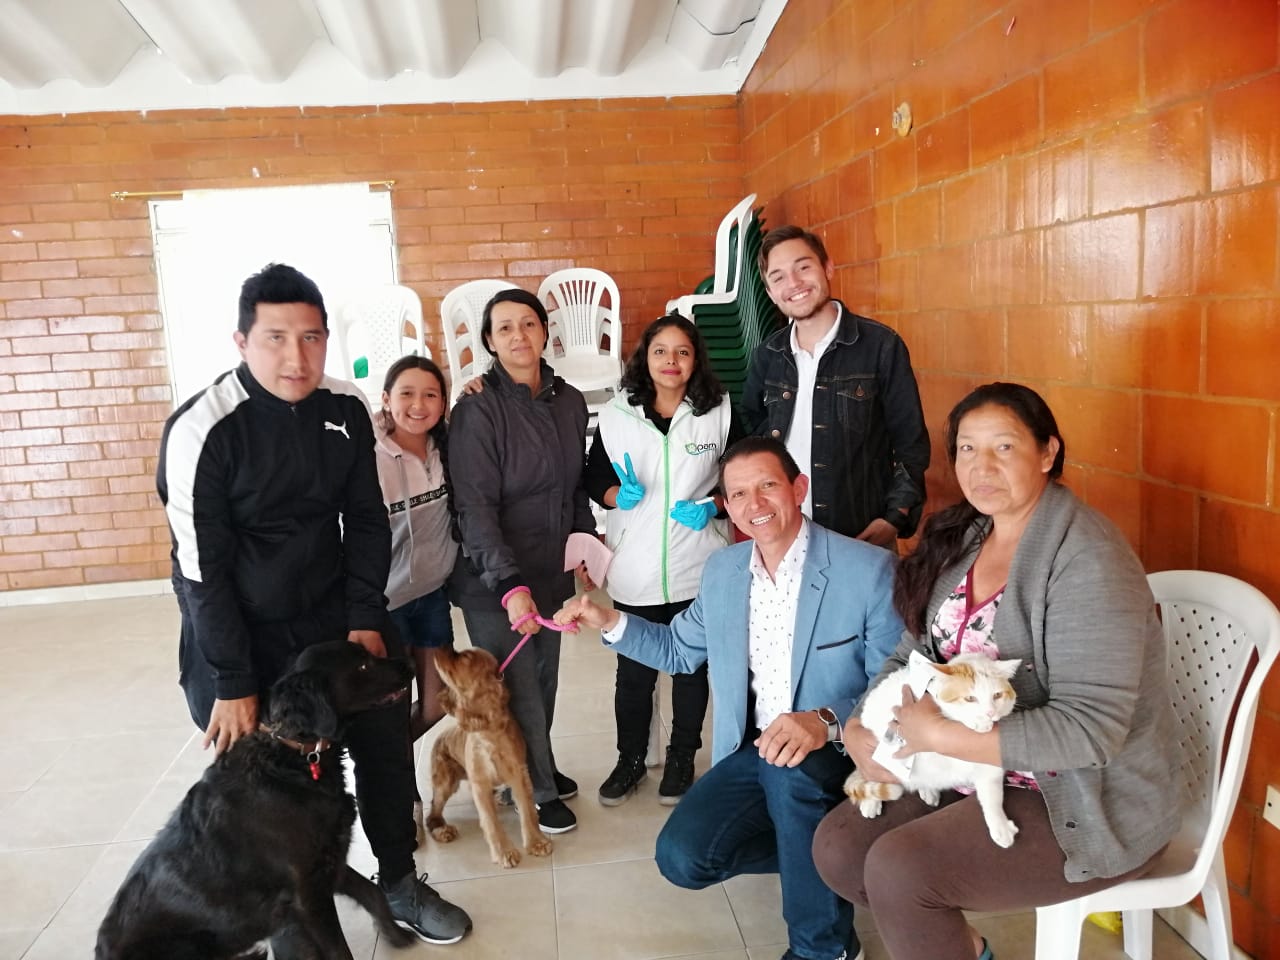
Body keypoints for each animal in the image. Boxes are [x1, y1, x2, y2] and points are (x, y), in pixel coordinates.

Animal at [96, 640, 414, 960]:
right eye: (362, 666)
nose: (408, 664)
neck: (291, 759)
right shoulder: (307, 892)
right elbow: (339, 950)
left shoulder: (329, 863)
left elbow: (373, 893)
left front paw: (395, 934)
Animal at [427, 650, 552, 870]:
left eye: (465, 657)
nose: (437, 649)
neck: (489, 734)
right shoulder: (480, 783)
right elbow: (490, 821)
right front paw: (505, 853)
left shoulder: (519, 774)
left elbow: (528, 810)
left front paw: (537, 843)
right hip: (445, 782)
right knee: (431, 812)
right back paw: (444, 831)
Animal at [849, 655, 1018, 849]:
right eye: (970, 698)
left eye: (997, 695)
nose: (990, 713)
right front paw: (976, 722)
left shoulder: (988, 768)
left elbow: (993, 797)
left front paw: (1000, 826)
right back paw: (872, 801)